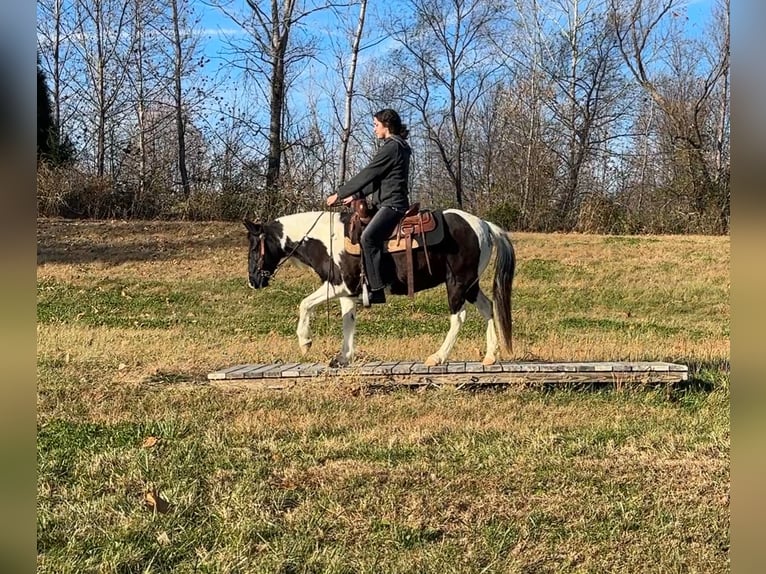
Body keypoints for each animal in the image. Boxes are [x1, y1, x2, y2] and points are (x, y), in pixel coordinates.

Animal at [243, 207, 515, 367]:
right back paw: (491, 355)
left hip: (457, 283)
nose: (253, 281)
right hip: (470, 284)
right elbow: (348, 320)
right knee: (487, 308)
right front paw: (343, 357)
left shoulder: (338, 284)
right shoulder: (347, 292)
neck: (326, 238)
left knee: (458, 317)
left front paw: (305, 342)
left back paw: (437, 357)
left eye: (255, 247)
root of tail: (484, 225)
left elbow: (304, 304)